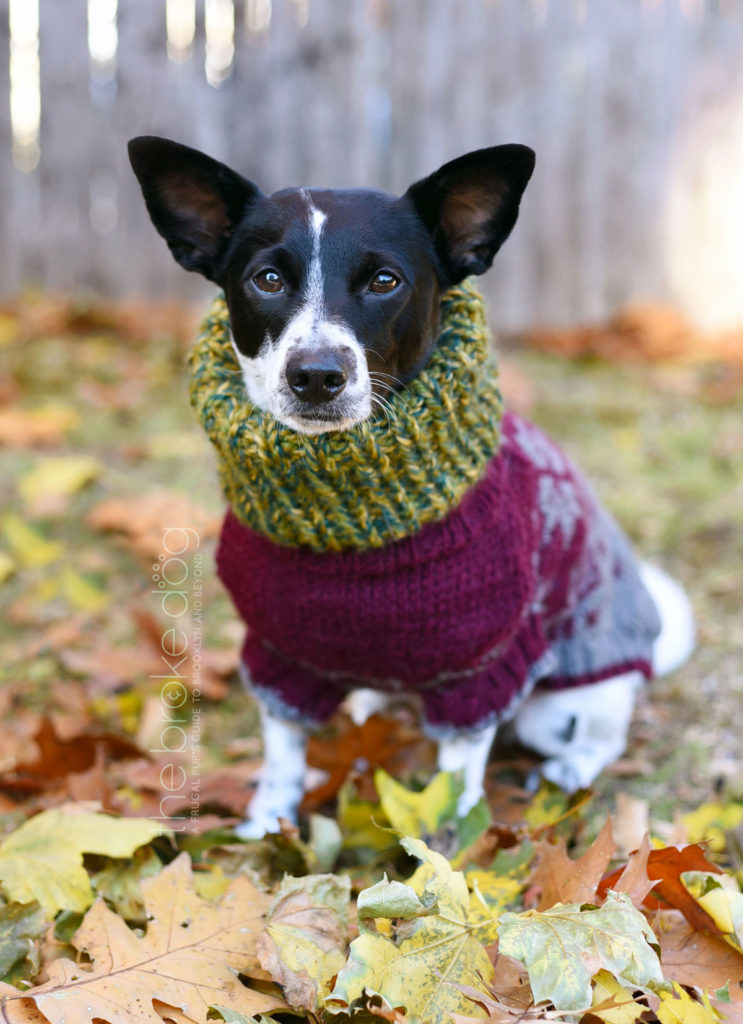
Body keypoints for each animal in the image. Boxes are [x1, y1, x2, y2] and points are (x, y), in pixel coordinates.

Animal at [129, 138, 700, 839]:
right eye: (267, 279)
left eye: (384, 281)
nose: (316, 375)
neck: (353, 513)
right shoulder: (278, 658)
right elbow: (283, 751)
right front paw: (269, 824)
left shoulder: (478, 672)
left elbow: (455, 784)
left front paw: (445, 849)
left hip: (569, 699)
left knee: (602, 735)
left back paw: (569, 767)